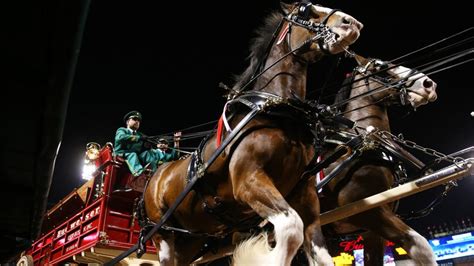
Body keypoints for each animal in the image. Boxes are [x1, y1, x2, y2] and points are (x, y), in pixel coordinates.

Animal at [144, 2, 362, 266]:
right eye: (305, 10)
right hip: (163, 234)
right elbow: (291, 230)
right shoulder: (249, 181)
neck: (279, 113)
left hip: (192, 238)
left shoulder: (305, 195)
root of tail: (155, 177)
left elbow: (320, 253)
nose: (353, 23)